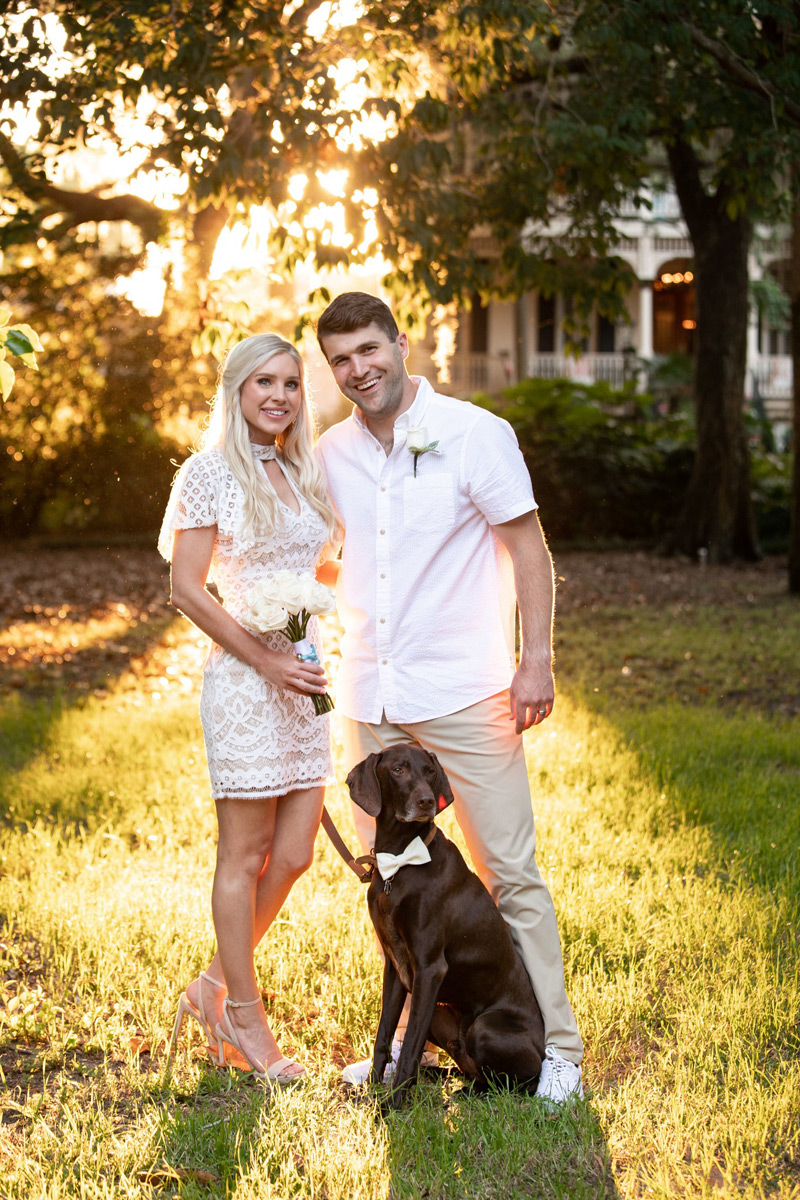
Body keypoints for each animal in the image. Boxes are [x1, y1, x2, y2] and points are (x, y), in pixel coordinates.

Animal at [347, 739, 546, 1104]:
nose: (427, 801)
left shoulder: (429, 968)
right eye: (398, 769)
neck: (400, 862)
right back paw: (445, 1079)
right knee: (468, 1068)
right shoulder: (396, 968)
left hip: (485, 1028)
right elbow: (384, 1037)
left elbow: (410, 1046)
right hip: (440, 1012)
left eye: (429, 771)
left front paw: (391, 1106)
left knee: (516, 1083)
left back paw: (472, 1092)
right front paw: (370, 1092)